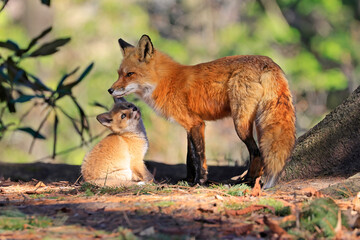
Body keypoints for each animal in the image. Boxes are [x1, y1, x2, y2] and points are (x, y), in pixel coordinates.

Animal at [107, 34, 296, 188]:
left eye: (130, 74)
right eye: (118, 74)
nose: (110, 90)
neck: (166, 81)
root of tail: (268, 62)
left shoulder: (196, 123)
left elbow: (199, 157)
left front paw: (200, 181)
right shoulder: (189, 126)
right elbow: (189, 158)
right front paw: (188, 180)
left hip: (240, 124)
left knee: (256, 152)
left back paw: (246, 181)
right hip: (258, 121)